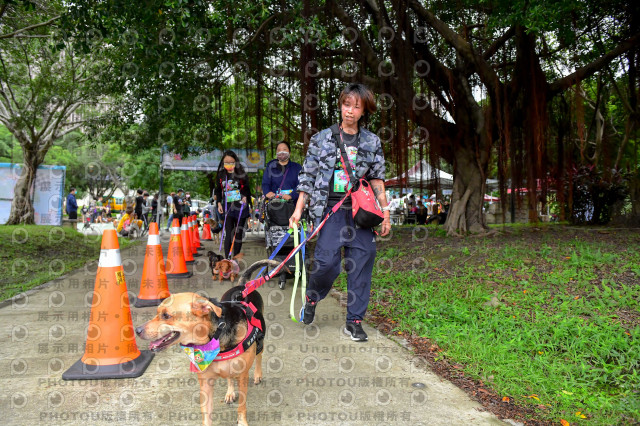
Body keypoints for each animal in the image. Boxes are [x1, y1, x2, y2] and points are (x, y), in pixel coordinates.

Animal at [138, 260, 280, 426]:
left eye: (166, 315)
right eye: (157, 312)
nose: (137, 330)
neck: (214, 338)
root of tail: (242, 287)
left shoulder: (243, 376)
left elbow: (242, 407)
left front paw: (242, 422)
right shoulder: (205, 383)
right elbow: (206, 414)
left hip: (260, 342)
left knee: (259, 356)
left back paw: (257, 374)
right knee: (230, 377)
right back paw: (230, 392)